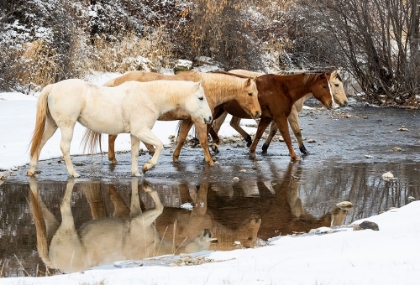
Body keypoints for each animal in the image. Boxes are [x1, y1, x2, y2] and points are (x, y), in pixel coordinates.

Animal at [26, 77, 212, 175]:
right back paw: (74, 174)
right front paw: (148, 166)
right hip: (67, 126)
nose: (209, 118)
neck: (149, 97)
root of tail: (53, 87)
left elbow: (135, 152)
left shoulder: (135, 134)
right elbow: (159, 146)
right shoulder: (141, 131)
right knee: (64, 147)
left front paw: (136, 173)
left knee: (40, 143)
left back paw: (32, 170)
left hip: (52, 125)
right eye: (201, 98)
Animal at [28, 178, 213, 272]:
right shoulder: (138, 220)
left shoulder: (138, 221)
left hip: (64, 230)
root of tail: (54, 263)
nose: (209, 232)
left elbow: (155, 206)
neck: (156, 248)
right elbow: (151, 204)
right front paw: (145, 185)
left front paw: (146, 187)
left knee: (58, 210)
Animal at [210, 68, 348, 153]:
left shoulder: (278, 114)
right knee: (217, 125)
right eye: (335, 85)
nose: (344, 102)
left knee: (232, 123)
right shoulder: (290, 114)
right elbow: (297, 131)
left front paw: (264, 147)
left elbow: (273, 130)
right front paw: (304, 150)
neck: (287, 89)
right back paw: (215, 147)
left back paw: (247, 139)